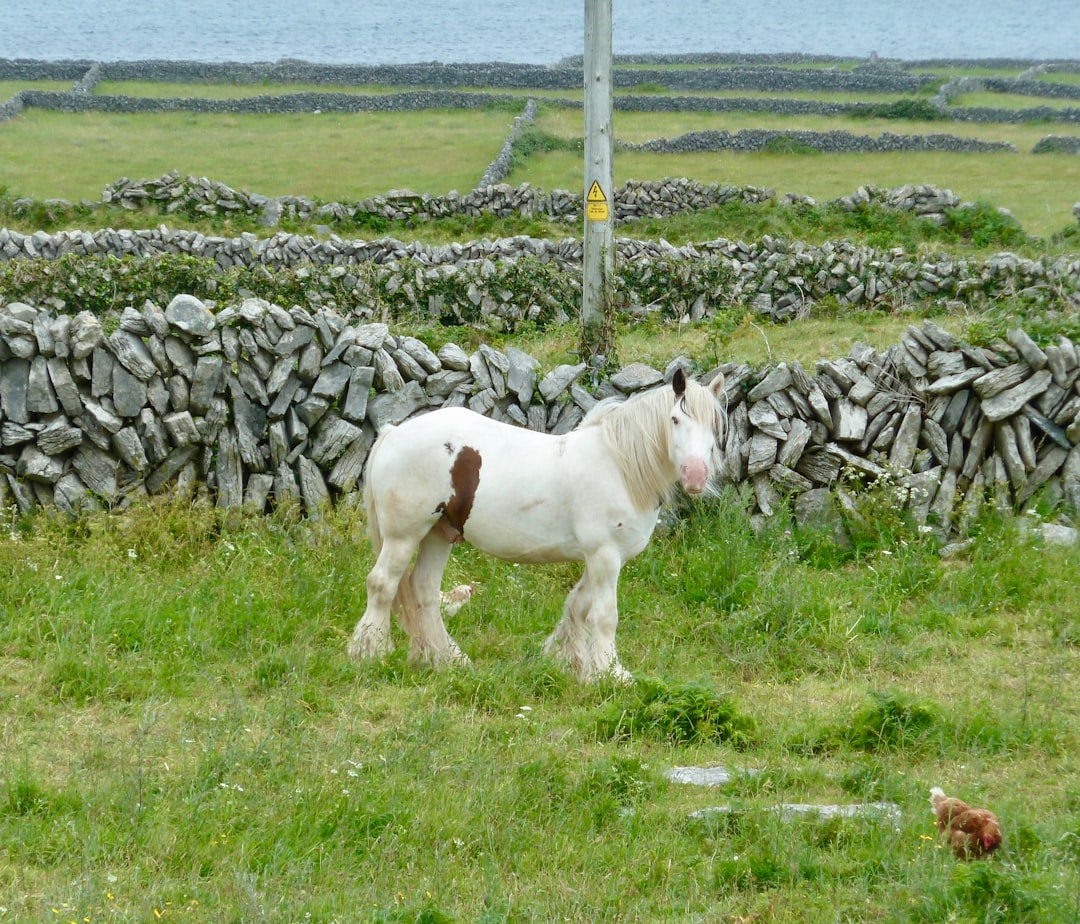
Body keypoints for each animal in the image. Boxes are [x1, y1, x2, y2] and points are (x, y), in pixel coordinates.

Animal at [347, 367, 726, 682]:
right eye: (675, 419)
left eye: (714, 425)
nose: (695, 476)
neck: (619, 466)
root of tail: (394, 432)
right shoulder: (605, 556)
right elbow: (604, 615)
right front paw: (610, 674)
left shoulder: (598, 559)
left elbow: (578, 607)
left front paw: (569, 662)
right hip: (404, 536)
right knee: (382, 584)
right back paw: (371, 653)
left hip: (439, 534)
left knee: (424, 591)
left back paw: (447, 659)